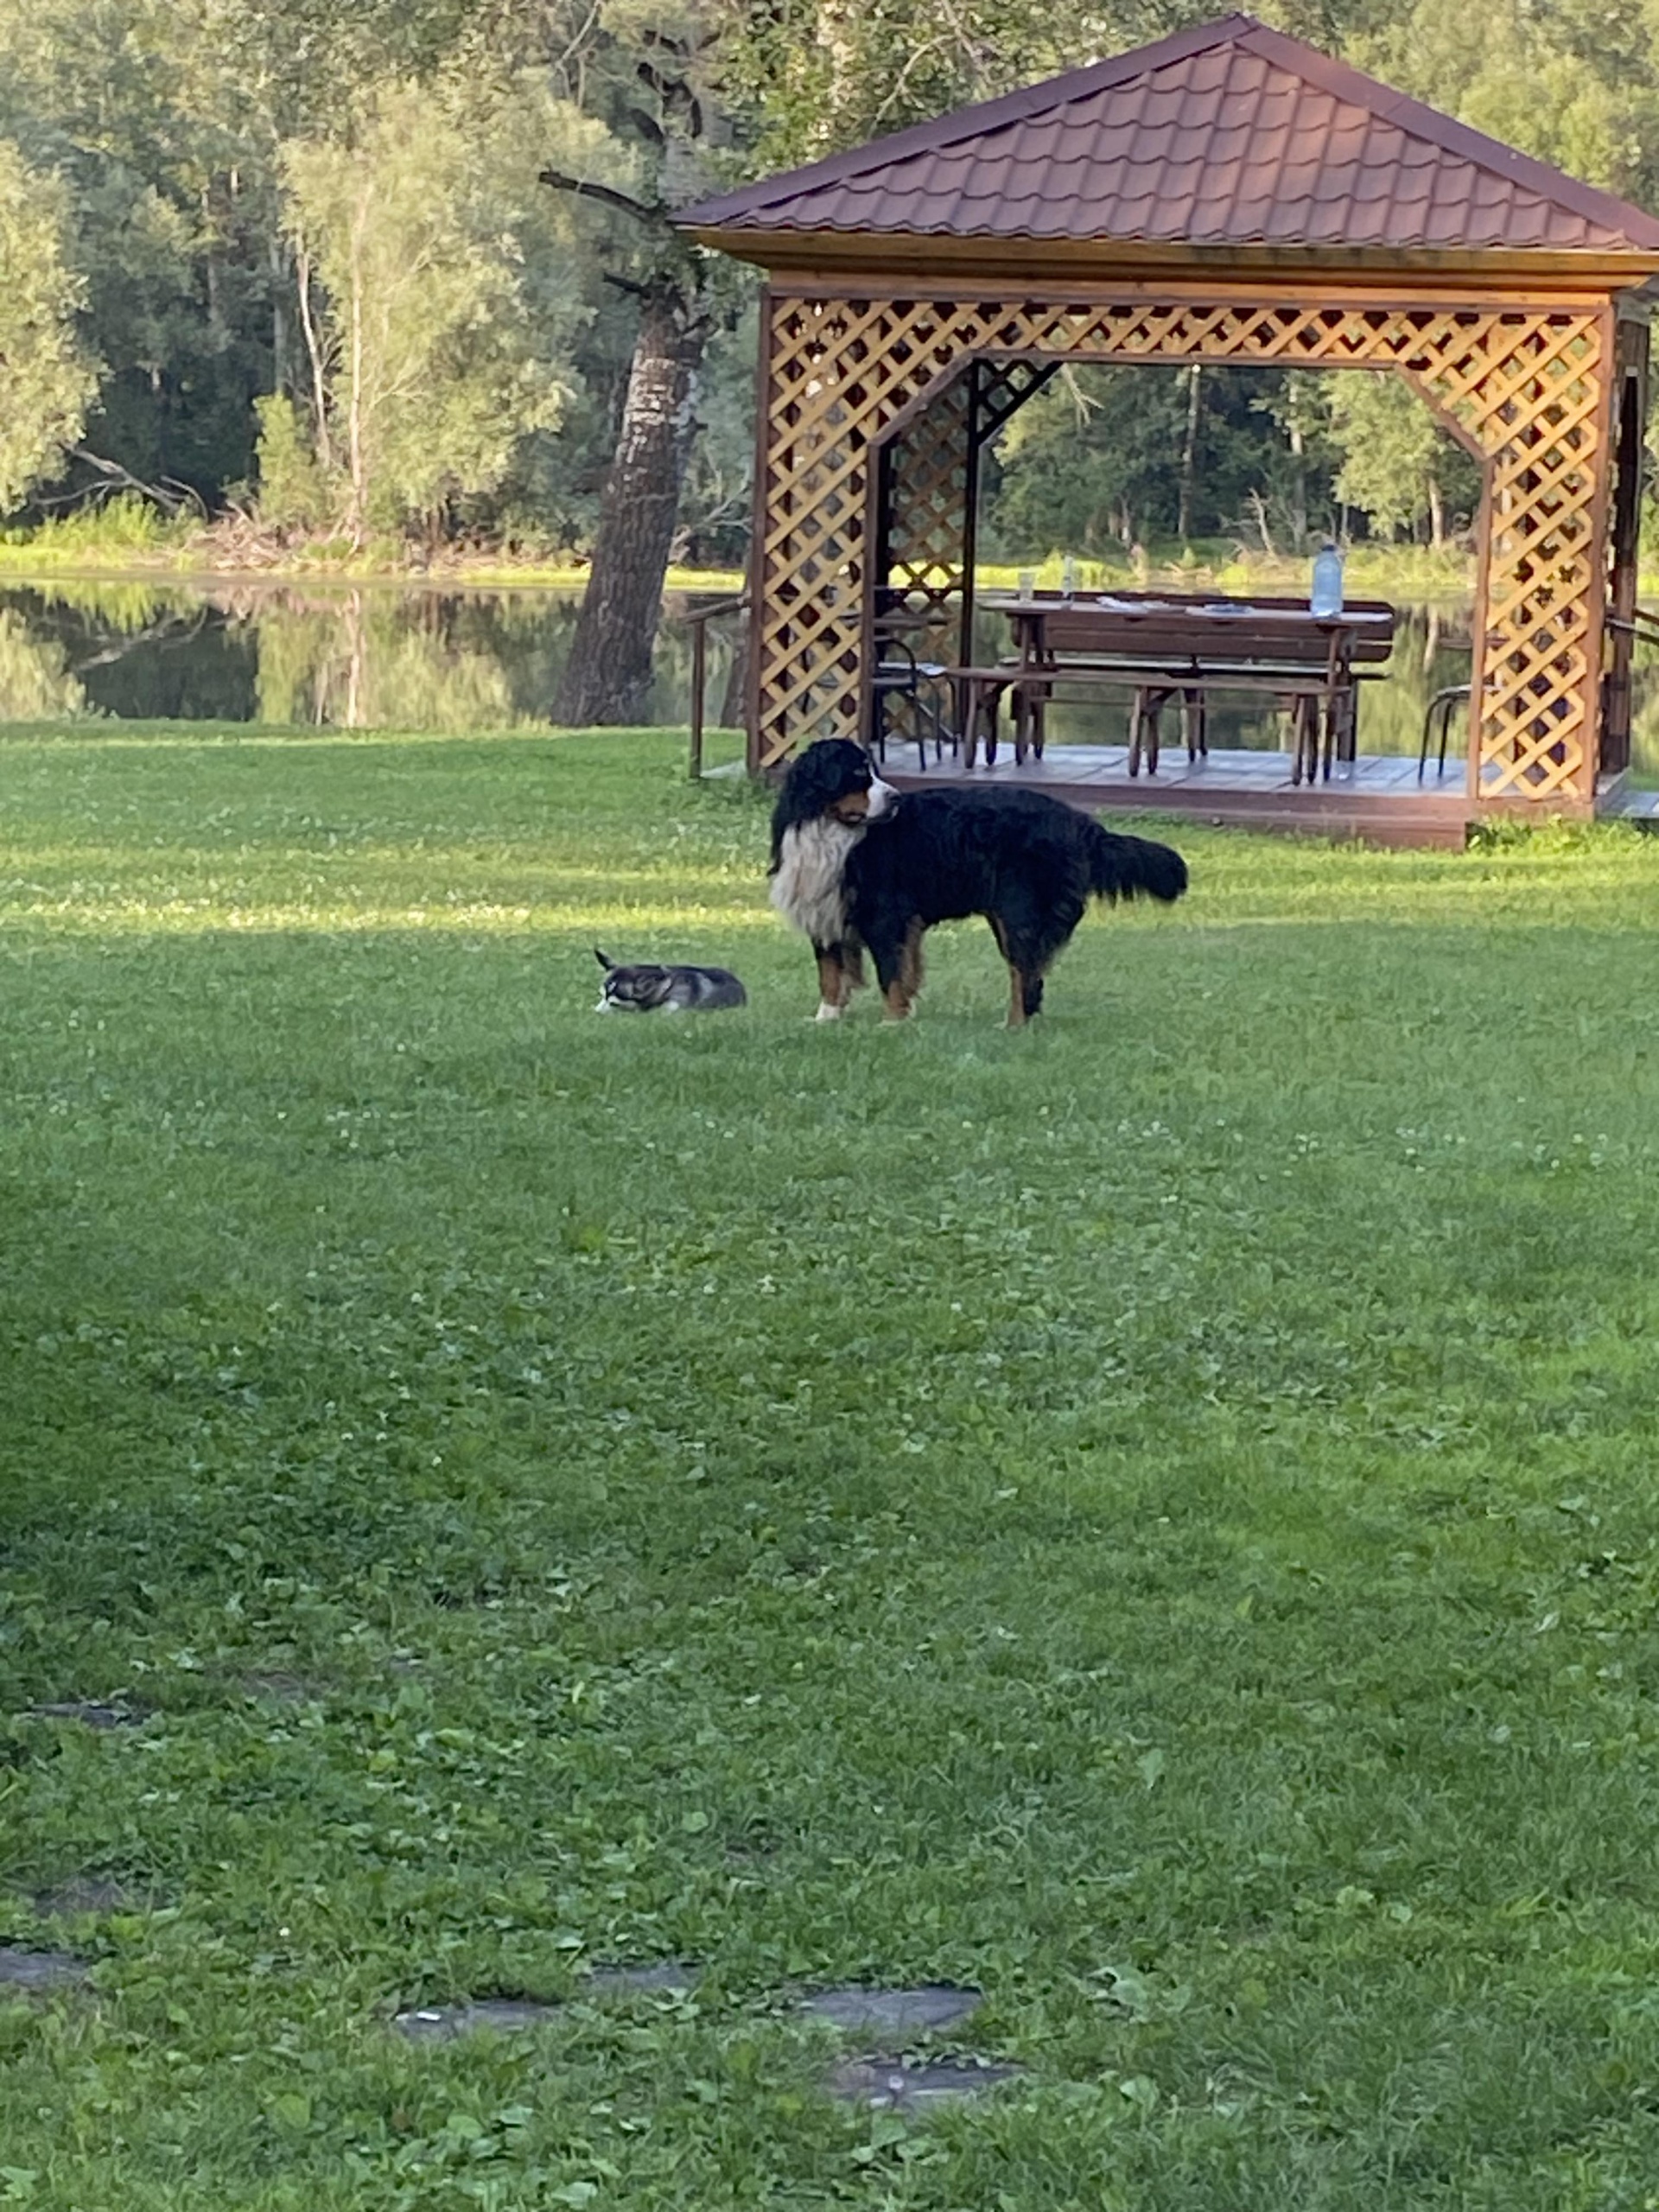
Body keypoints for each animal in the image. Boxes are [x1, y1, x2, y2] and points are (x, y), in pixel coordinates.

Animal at [774, 739, 1185, 1021]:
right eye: (859, 774)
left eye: (873, 771)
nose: (895, 798)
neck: (829, 831)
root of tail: (1078, 820)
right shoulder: (823, 910)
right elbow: (830, 973)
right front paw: (826, 1019)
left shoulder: (885, 915)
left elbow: (891, 974)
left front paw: (892, 1022)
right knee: (1031, 975)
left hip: (1019, 910)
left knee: (1024, 973)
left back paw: (1013, 1026)